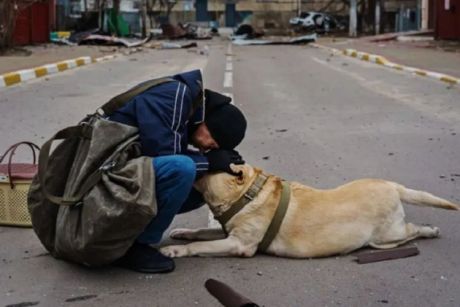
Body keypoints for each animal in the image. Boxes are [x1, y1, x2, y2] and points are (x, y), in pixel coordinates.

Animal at [160, 165, 458, 258]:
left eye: (210, 163)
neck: (246, 195)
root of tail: (393, 185)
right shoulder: (227, 232)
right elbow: (200, 232)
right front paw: (182, 232)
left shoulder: (238, 244)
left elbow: (199, 245)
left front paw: (175, 250)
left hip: (387, 236)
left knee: (412, 231)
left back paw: (430, 231)